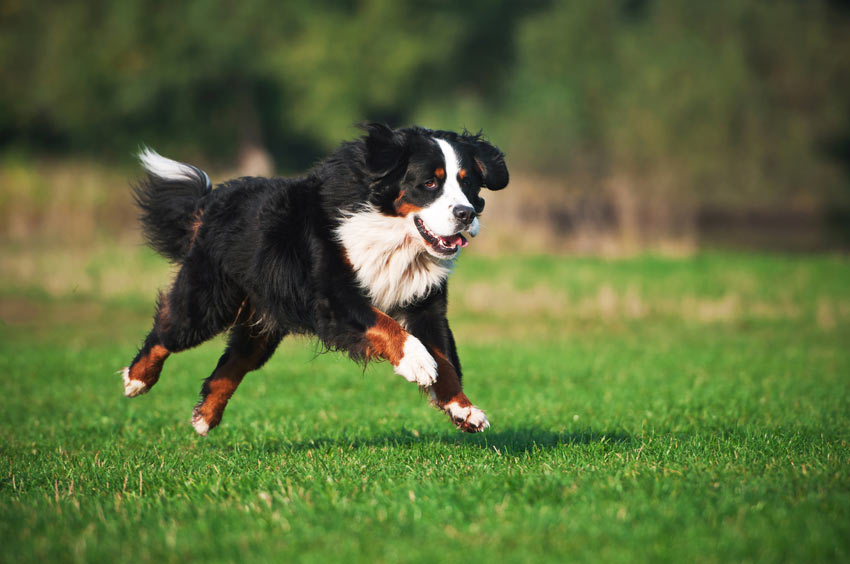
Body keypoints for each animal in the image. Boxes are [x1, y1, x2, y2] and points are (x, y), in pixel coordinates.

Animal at [122, 121, 506, 434]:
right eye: (429, 183)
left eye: (468, 184)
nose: (465, 214)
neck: (393, 236)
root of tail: (212, 201)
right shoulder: (333, 297)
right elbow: (387, 326)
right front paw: (417, 362)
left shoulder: (424, 303)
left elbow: (446, 360)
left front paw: (463, 409)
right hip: (210, 302)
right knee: (168, 332)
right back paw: (136, 379)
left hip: (262, 324)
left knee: (232, 364)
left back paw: (205, 417)